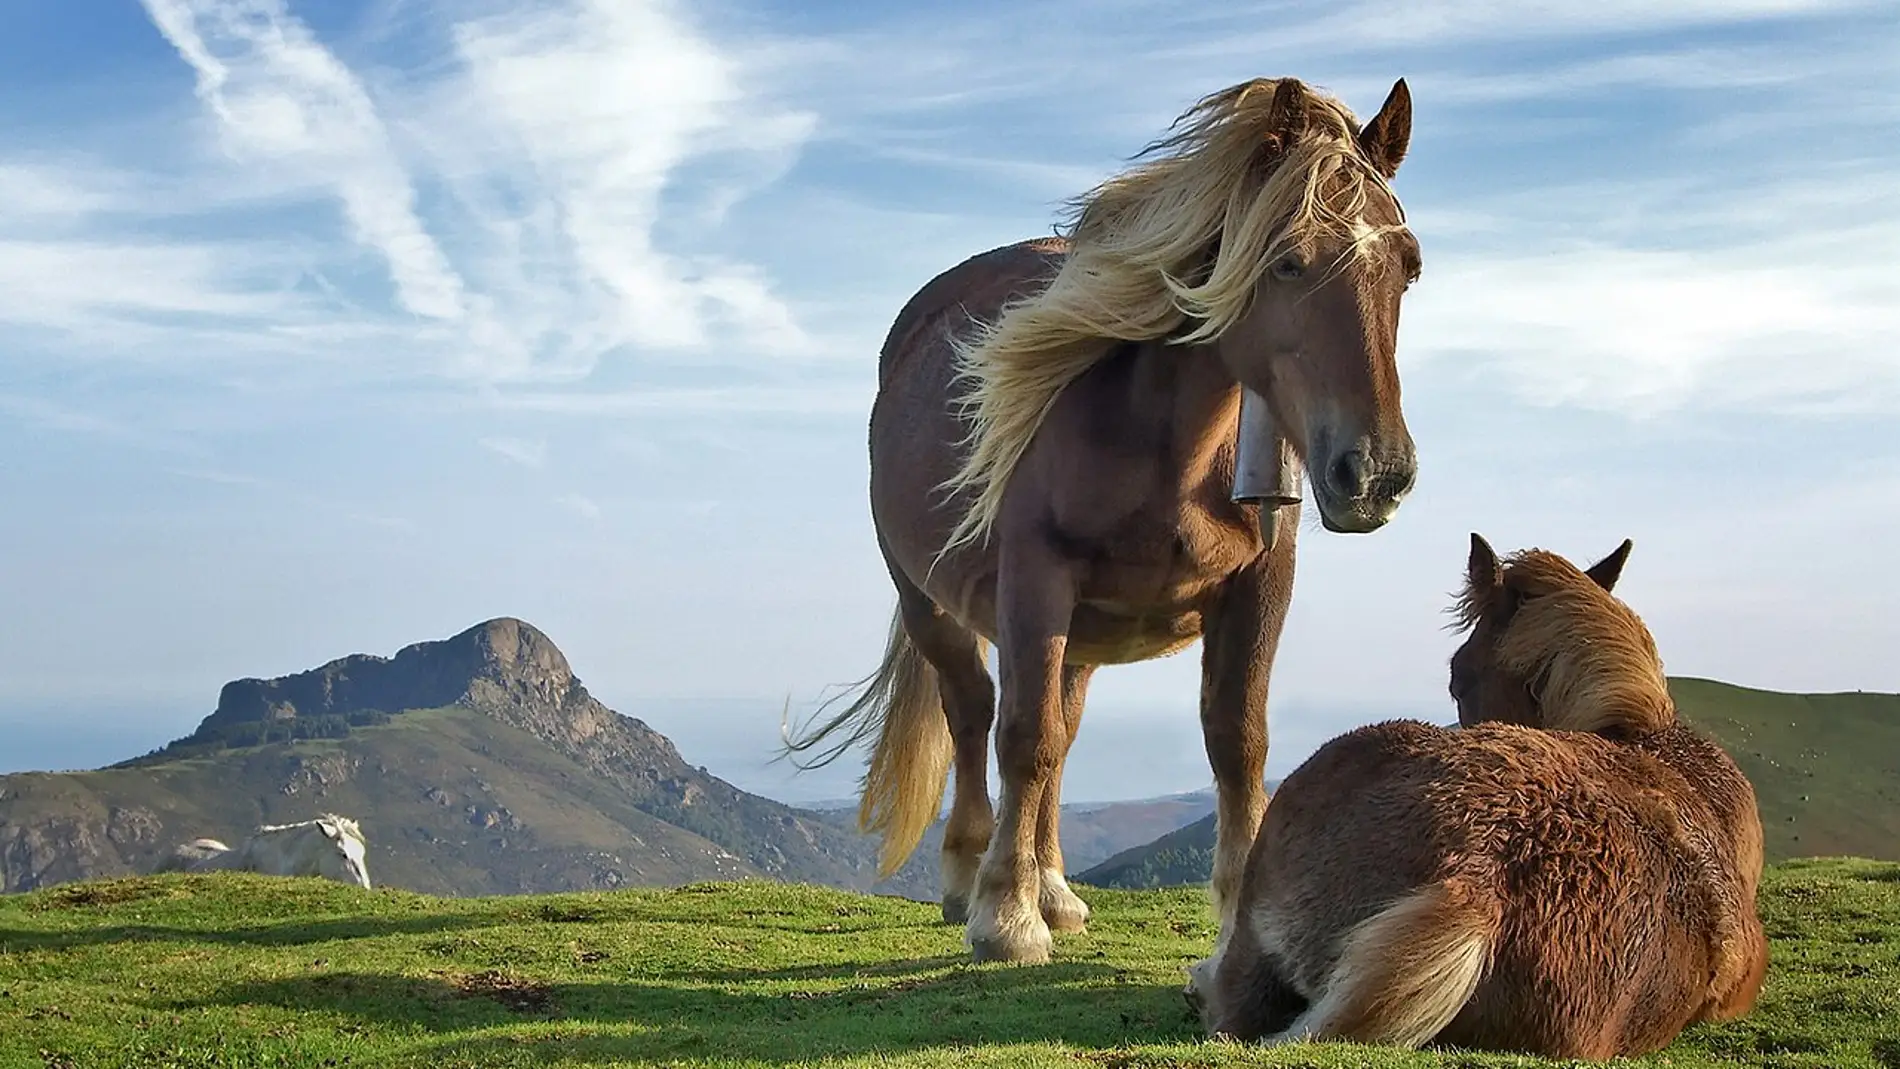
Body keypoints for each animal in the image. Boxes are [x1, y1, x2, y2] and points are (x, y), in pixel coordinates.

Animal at [786, 73, 1428, 960]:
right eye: (1288, 261)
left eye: (1408, 269)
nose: (1374, 474)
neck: (1163, 442)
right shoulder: (1035, 581)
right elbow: (1021, 735)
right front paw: (1005, 916)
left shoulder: (1261, 585)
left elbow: (1237, 740)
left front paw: (1233, 919)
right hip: (931, 602)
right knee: (974, 712)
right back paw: (970, 875)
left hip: (1086, 633)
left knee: (1064, 730)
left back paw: (1054, 885)